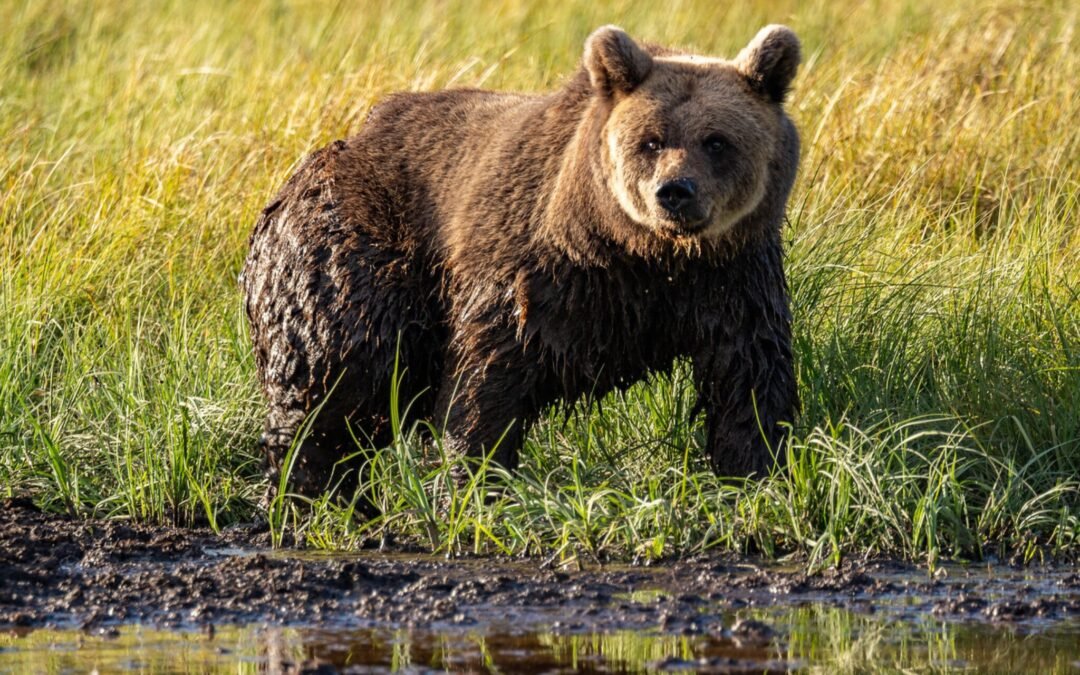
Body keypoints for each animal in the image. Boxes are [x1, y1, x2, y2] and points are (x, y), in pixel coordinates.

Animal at [241, 24, 802, 497]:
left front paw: (755, 472)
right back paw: (310, 492)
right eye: (651, 140)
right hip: (354, 247)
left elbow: (748, 377)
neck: (641, 253)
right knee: (339, 372)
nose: (675, 192)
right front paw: (471, 484)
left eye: (717, 141)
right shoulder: (535, 271)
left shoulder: (733, 279)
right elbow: (488, 376)